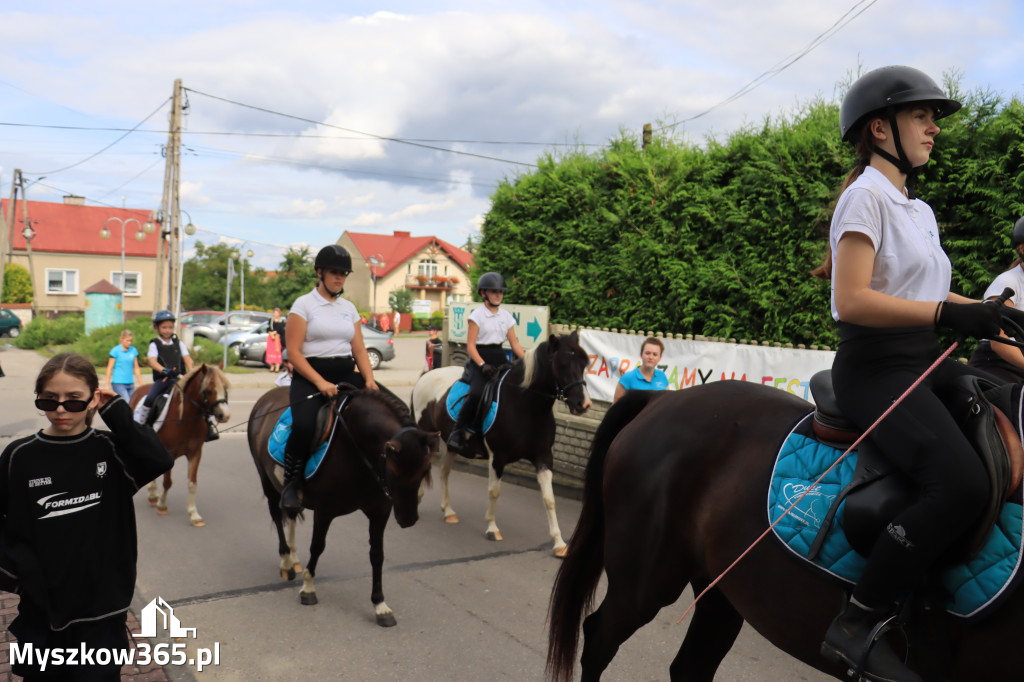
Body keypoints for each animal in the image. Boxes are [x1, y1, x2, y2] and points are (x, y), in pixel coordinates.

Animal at [128, 360, 230, 524]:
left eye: (225, 388)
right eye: (208, 390)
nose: (224, 415)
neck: (186, 419)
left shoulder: (196, 453)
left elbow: (192, 483)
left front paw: (193, 514)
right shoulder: (169, 453)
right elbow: (167, 482)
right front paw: (162, 506)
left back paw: (153, 494)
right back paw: (153, 496)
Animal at [249, 385, 438, 622]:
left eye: (424, 471)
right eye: (395, 472)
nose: (409, 519)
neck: (356, 448)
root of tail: (266, 398)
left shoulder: (379, 511)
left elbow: (377, 554)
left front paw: (380, 604)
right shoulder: (324, 510)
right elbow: (317, 546)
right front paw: (308, 588)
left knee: (290, 514)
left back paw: (293, 556)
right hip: (266, 480)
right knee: (276, 514)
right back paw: (286, 561)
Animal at [409, 329, 593, 557]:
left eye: (584, 363)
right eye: (563, 364)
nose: (584, 404)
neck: (525, 405)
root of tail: (426, 375)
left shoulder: (543, 457)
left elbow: (549, 499)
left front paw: (559, 543)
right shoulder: (498, 457)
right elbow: (494, 492)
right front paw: (492, 528)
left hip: (452, 444)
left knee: (443, 471)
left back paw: (448, 511)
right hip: (427, 434)